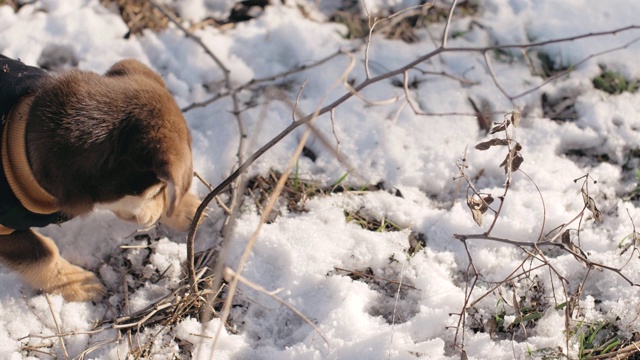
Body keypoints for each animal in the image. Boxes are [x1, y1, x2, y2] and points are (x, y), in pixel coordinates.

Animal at [0, 58, 200, 300]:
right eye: (157, 188)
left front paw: (188, 209)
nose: (159, 214)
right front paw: (80, 285)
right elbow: (42, 255)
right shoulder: (4, 228)